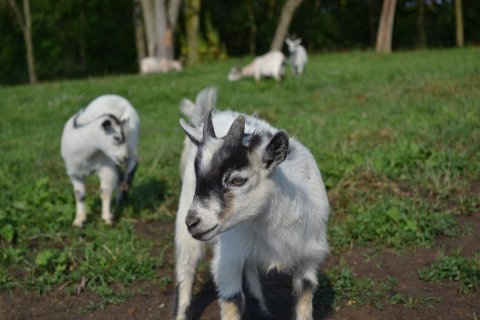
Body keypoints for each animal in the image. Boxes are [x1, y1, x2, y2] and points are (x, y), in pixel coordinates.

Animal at [59, 94, 139, 226]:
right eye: (116, 138)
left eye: (124, 138)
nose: (124, 157)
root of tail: (115, 96)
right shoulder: (74, 172)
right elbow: (79, 195)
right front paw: (79, 220)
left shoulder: (106, 167)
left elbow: (104, 192)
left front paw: (107, 218)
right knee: (120, 174)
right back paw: (120, 200)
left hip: (133, 141)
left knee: (134, 162)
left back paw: (126, 184)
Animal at [173, 86, 330, 318]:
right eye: (198, 174)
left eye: (238, 180)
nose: (193, 222)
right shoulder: (228, 259)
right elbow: (232, 301)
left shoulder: (309, 257)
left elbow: (304, 297)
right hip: (186, 225)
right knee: (186, 268)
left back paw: (261, 307)